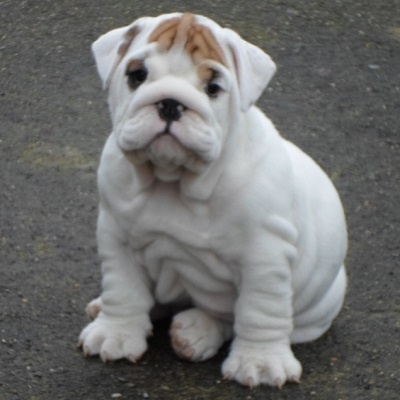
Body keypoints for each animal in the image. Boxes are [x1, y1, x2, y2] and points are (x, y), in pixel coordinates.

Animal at [78, 12, 347, 388]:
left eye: (214, 88)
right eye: (137, 75)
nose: (170, 103)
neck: (173, 181)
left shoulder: (264, 257)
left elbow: (259, 310)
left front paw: (260, 362)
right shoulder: (116, 235)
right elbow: (124, 289)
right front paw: (115, 332)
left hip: (318, 306)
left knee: (230, 317)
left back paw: (197, 332)